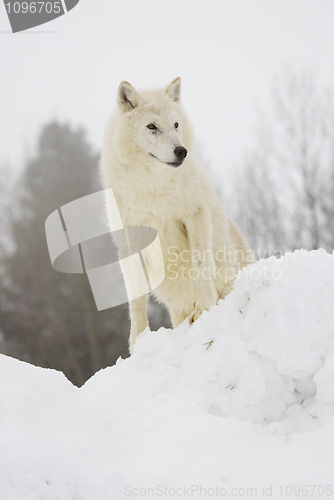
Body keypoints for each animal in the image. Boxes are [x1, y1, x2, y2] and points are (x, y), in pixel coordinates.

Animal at [100, 76, 252, 354]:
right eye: (151, 126)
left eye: (175, 125)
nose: (181, 151)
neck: (153, 189)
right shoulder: (128, 244)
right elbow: (136, 301)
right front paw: (137, 344)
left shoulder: (195, 216)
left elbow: (200, 266)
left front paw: (204, 311)